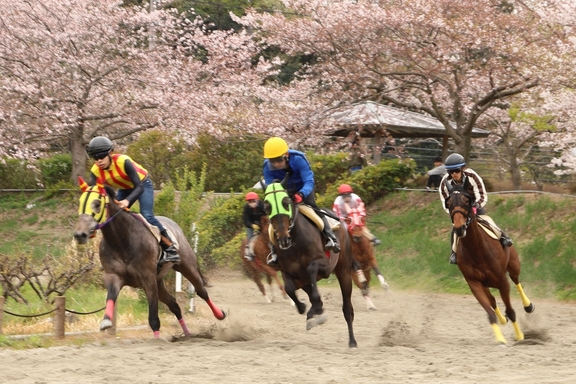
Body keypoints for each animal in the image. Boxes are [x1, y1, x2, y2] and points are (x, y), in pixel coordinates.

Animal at [75, 178, 228, 338]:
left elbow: (154, 318)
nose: (80, 235)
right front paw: (106, 321)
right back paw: (187, 335)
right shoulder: (114, 276)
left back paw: (219, 314)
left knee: (201, 291)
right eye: (80, 202)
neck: (122, 240)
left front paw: (157, 339)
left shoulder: (148, 279)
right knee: (174, 305)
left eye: (97, 203)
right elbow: (111, 297)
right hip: (159, 280)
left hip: (186, 266)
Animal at [264, 181, 356, 348]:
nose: (283, 238)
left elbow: (312, 269)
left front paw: (316, 310)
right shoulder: (289, 272)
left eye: (286, 202)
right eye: (267, 207)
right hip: (303, 279)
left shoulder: (324, 267)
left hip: (344, 271)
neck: (294, 242)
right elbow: (289, 288)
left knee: (347, 308)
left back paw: (352, 341)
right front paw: (306, 308)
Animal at [446, 186, 536, 344]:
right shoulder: (474, 284)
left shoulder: (502, 281)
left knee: (516, 281)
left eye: (466, 200)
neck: (476, 250)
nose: (459, 228)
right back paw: (502, 320)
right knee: (493, 300)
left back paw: (528, 305)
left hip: (513, 265)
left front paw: (519, 336)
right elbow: (490, 311)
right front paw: (500, 339)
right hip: (486, 283)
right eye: (449, 202)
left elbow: (511, 310)